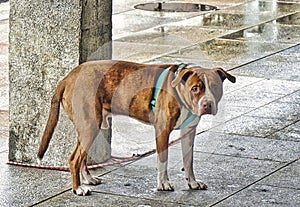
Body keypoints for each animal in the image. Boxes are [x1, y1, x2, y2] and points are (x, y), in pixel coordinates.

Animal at [37, 59, 234, 195]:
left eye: (215, 87)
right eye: (195, 88)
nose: (207, 104)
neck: (179, 90)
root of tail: (68, 77)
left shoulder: (189, 132)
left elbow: (189, 161)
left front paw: (192, 183)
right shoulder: (162, 131)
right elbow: (163, 159)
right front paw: (163, 184)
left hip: (92, 126)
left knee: (82, 157)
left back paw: (88, 179)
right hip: (89, 126)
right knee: (74, 158)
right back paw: (78, 189)